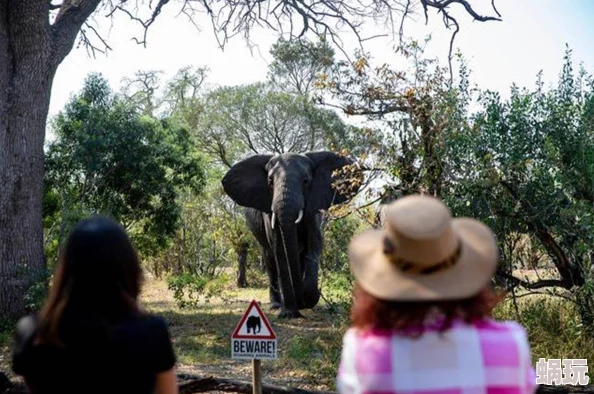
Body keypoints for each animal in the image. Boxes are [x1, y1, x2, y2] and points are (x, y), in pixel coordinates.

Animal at [222, 149, 360, 318]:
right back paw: (276, 305)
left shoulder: (314, 208)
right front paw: (288, 313)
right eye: (270, 182)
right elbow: (280, 249)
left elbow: (314, 244)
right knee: (270, 259)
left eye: (306, 181)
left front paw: (307, 297)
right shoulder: (269, 212)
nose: (302, 302)